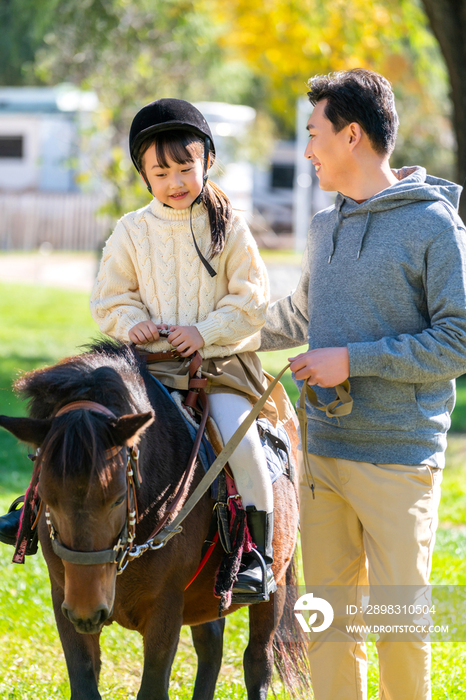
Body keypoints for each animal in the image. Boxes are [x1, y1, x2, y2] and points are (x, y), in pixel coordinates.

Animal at [0, 342, 310, 696]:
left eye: (118, 498)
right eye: (47, 497)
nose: (87, 610)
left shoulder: (165, 607)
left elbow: (152, 688)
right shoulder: (64, 598)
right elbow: (85, 685)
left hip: (274, 586)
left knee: (257, 660)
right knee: (211, 644)